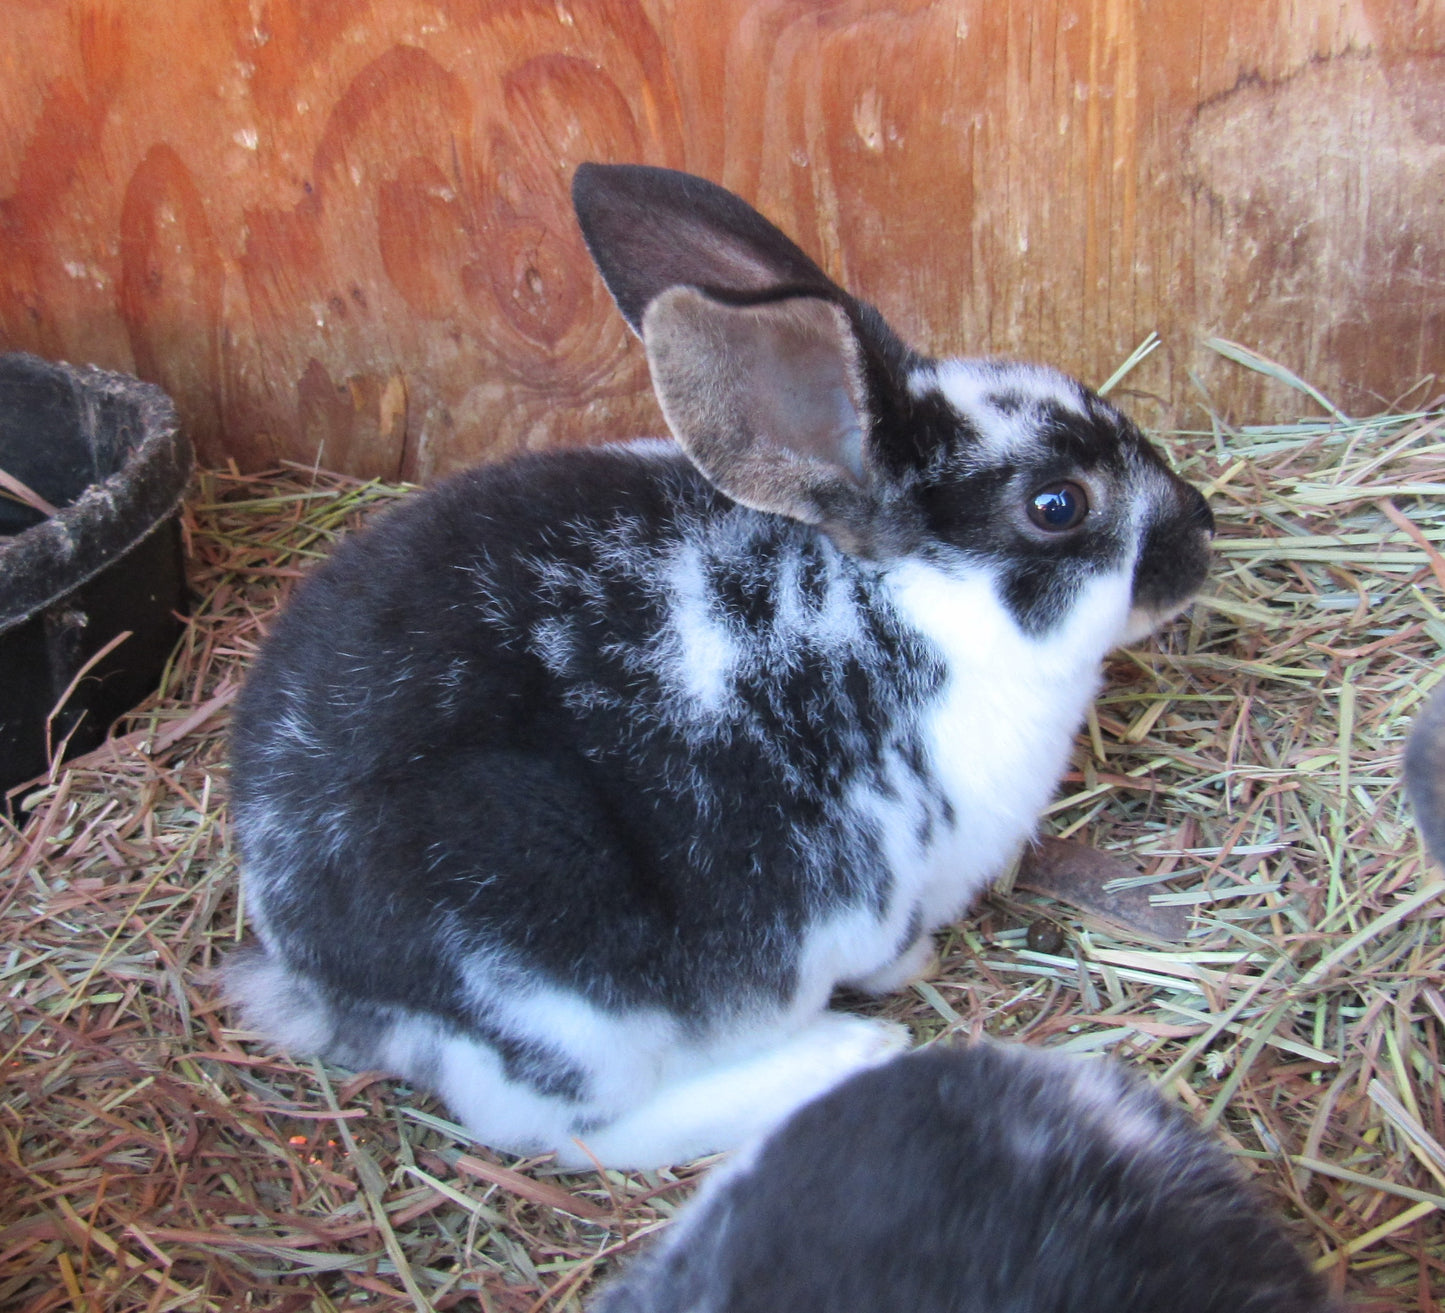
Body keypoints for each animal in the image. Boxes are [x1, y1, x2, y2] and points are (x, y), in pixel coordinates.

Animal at [228, 166, 1219, 1167]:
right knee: (572, 1130)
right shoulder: (886, 891)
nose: (1202, 526)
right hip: (563, 999)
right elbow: (890, 949)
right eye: (1057, 505)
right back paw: (844, 1049)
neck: (902, 606)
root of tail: (308, 949)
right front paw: (916, 972)